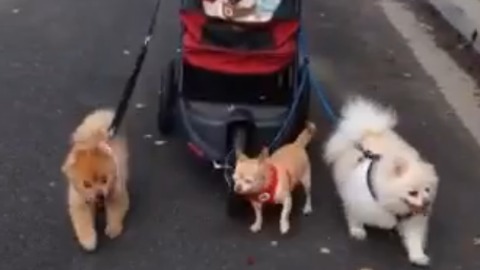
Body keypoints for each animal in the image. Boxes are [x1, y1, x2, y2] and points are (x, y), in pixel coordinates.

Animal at [62, 109, 129, 251]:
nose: (99, 194)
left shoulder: (116, 192)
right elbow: (83, 221)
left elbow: (115, 211)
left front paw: (113, 229)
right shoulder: (80, 200)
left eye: (104, 180)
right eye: (86, 184)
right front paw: (88, 240)